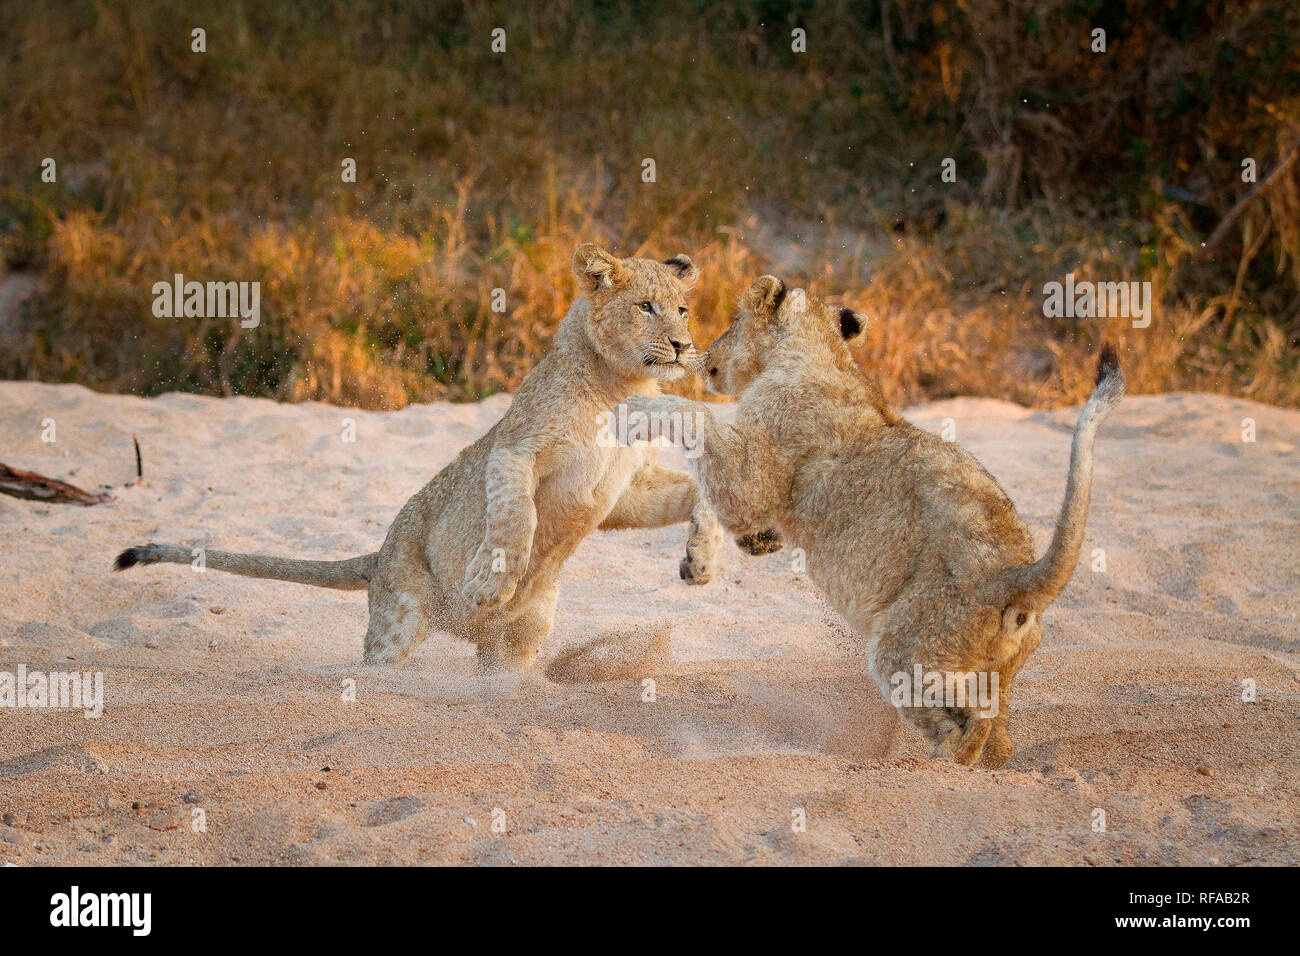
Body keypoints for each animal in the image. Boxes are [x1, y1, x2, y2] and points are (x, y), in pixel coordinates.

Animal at [115, 244, 724, 671]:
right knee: (378, 664)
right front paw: (488, 585)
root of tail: (379, 555)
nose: (681, 347)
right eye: (645, 307)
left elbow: (701, 493)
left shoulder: (626, 490)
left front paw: (700, 560)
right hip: (399, 620)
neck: (624, 386)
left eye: (682, 309)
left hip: (518, 641)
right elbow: (517, 516)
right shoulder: (514, 451)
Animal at [615, 275, 1123, 766]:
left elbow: (694, 414)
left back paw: (927, 768)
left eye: (734, 321)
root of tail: (1018, 574)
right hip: (992, 669)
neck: (824, 355)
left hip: (907, 647)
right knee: (998, 740)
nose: (703, 355)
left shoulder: (752, 477)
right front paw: (725, 552)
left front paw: (635, 408)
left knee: (968, 726)